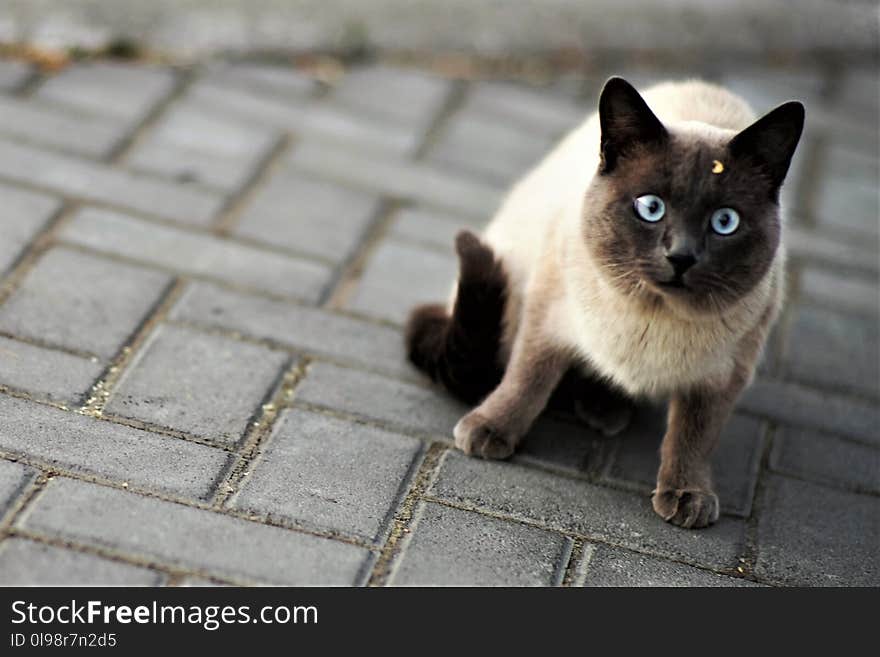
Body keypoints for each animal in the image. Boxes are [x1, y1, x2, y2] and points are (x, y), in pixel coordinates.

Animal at [406, 77, 804, 528]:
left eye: (725, 222)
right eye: (651, 208)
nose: (681, 257)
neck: (653, 315)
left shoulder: (722, 376)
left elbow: (694, 437)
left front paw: (688, 496)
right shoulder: (546, 315)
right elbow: (527, 379)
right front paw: (490, 431)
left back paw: (605, 407)